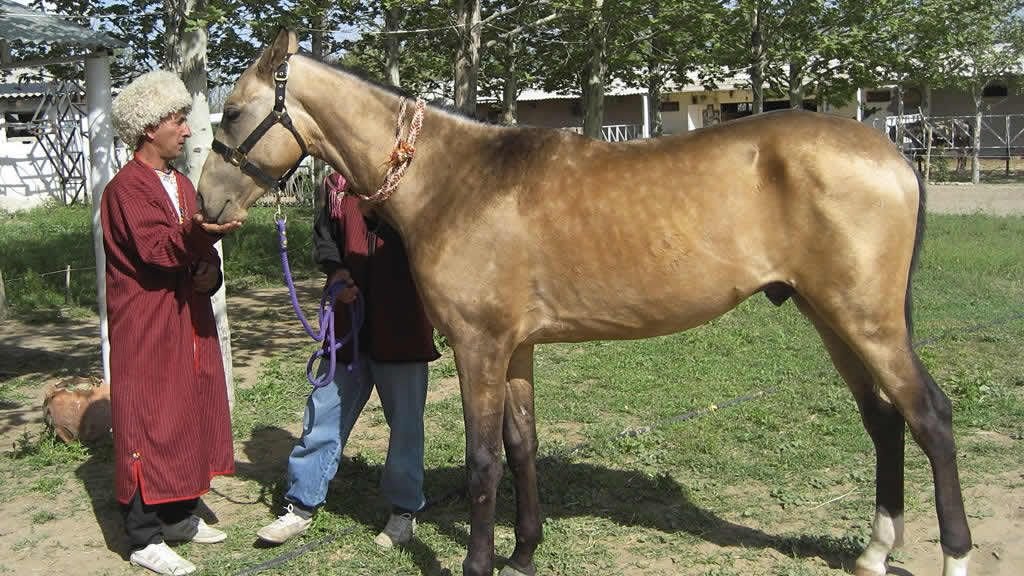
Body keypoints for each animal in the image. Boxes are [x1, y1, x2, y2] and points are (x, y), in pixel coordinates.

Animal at [197, 30, 972, 576]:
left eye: (231, 112)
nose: (206, 204)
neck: (457, 179)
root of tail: (896, 157)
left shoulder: (480, 346)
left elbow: (483, 461)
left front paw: (479, 562)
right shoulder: (516, 348)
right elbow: (522, 447)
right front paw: (523, 553)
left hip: (867, 322)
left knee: (929, 415)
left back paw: (955, 554)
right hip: (833, 318)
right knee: (883, 420)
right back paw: (873, 551)